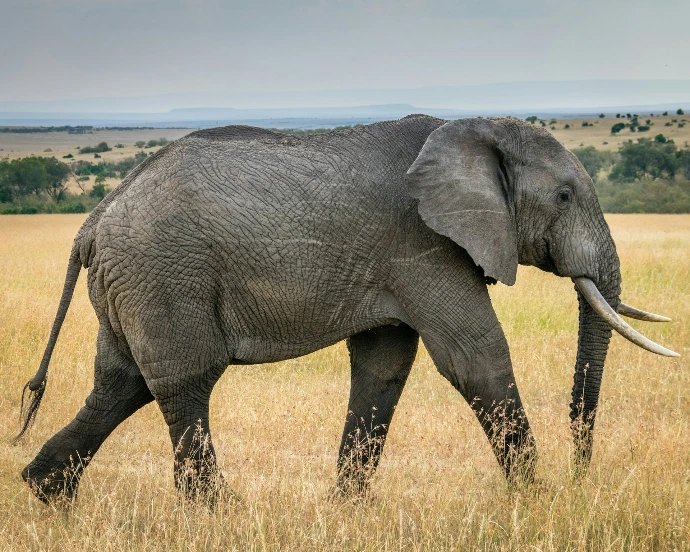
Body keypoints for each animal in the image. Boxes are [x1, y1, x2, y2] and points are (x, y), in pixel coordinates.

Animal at [15, 115, 678, 504]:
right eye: (564, 195)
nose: (581, 477)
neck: (471, 131)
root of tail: (94, 221)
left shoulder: (397, 263)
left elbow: (384, 367)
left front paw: (350, 507)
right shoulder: (423, 245)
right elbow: (475, 358)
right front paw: (534, 501)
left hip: (132, 284)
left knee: (120, 383)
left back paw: (46, 496)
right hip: (163, 274)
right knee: (183, 381)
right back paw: (214, 514)